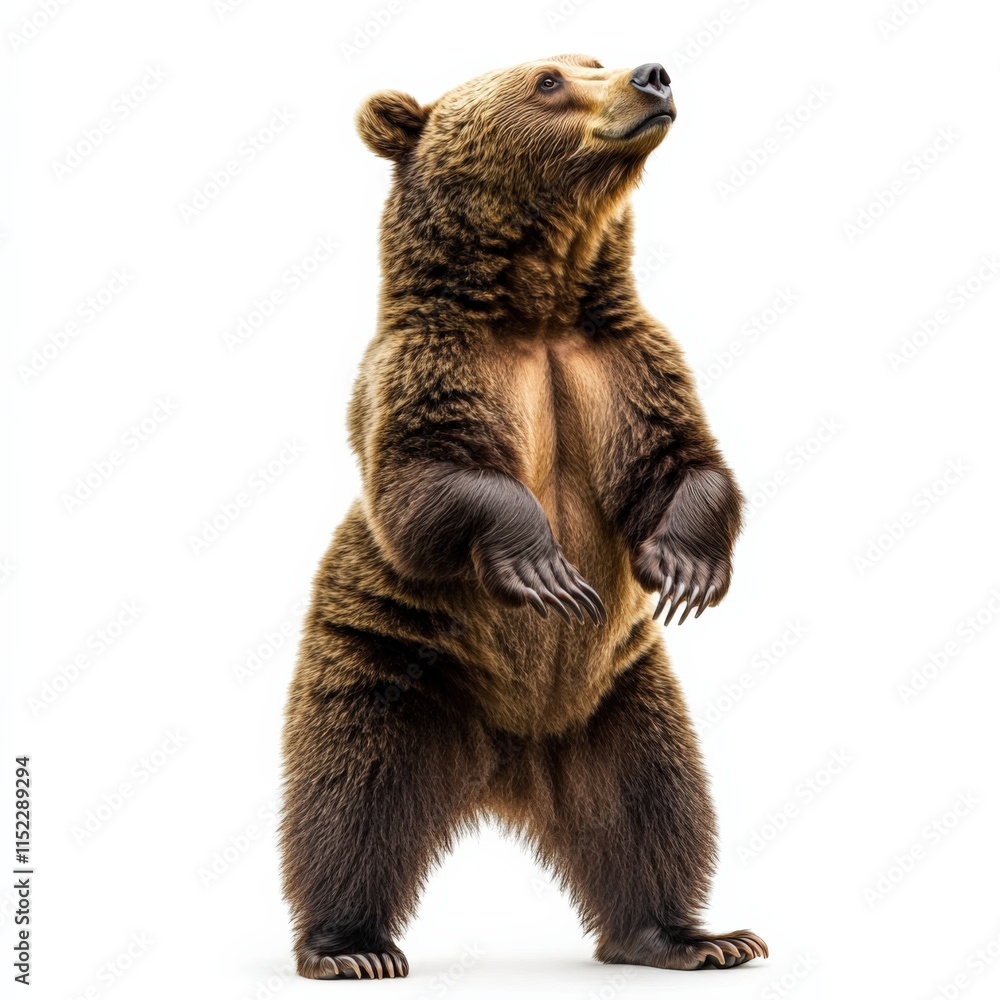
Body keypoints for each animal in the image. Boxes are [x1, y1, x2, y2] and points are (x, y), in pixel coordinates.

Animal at [279, 54, 767, 980]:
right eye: (548, 79)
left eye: (594, 58)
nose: (652, 75)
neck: (539, 306)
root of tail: (510, 753)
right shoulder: (429, 368)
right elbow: (426, 478)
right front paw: (544, 568)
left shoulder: (625, 363)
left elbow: (684, 460)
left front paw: (687, 568)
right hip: (395, 665)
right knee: (349, 796)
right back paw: (348, 947)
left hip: (622, 699)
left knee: (658, 806)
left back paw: (690, 935)